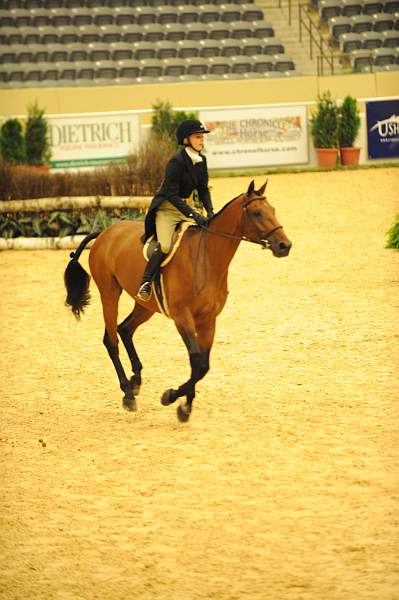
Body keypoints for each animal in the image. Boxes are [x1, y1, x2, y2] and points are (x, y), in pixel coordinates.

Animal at [64, 178, 292, 422]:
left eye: (273, 210)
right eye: (257, 213)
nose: (284, 246)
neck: (207, 257)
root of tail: (105, 232)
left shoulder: (208, 319)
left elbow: (202, 364)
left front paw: (184, 407)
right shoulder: (183, 317)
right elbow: (197, 361)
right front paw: (171, 397)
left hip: (146, 305)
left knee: (125, 329)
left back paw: (136, 382)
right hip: (109, 293)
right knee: (111, 340)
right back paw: (128, 394)